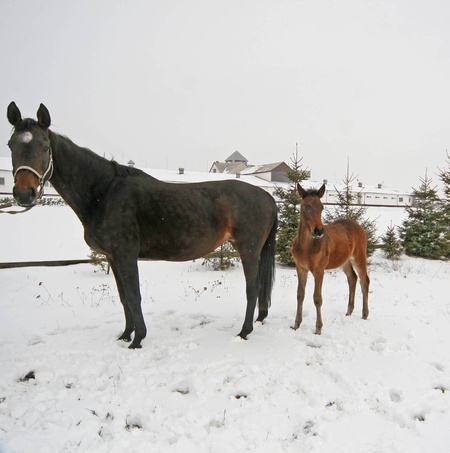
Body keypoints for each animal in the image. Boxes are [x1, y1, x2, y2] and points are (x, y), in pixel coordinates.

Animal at [7, 102, 278, 348]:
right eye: (11, 145)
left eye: (45, 147)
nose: (24, 193)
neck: (103, 191)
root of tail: (266, 196)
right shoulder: (113, 257)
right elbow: (124, 297)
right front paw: (125, 335)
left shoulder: (126, 254)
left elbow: (134, 296)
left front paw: (137, 340)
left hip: (248, 249)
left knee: (252, 288)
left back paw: (244, 332)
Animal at [292, 182, 370, 334]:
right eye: (307, 206)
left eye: (322, 207)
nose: (318, 231)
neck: (306, 246)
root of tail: (360, 227)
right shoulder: (300, 268)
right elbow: (300, 294)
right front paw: (296, 324)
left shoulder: (319, 270)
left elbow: (317, 298)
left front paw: (318, 329)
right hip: (345, 261)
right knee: (352, 278)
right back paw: (349, 311)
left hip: (359, 257)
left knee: (364, 281)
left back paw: (365, 314)